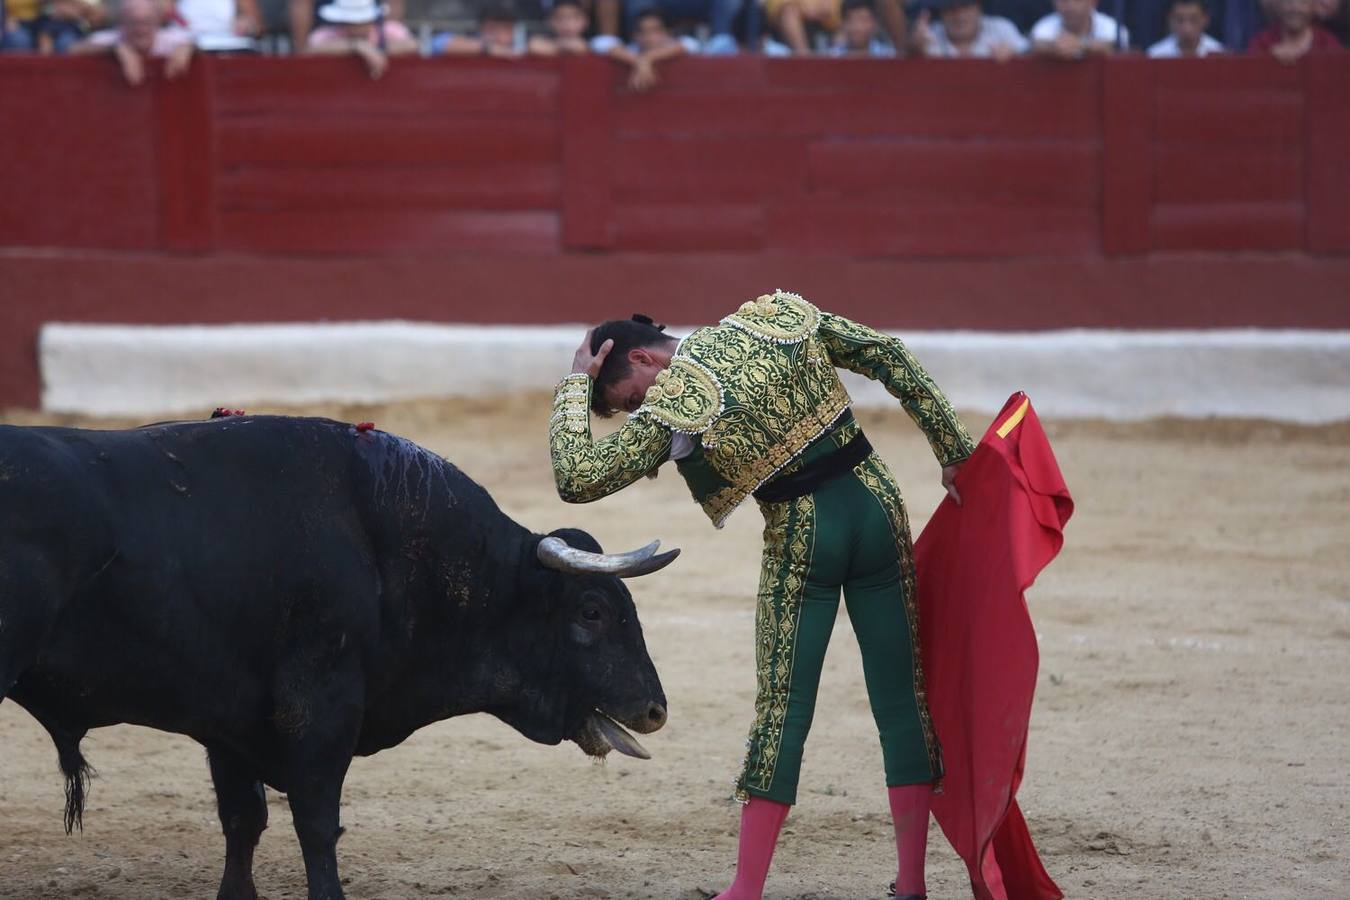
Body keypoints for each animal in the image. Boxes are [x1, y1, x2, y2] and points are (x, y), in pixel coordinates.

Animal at [0, 418, 675, 900]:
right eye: (591, 611)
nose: (655, 710)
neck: (388, 541)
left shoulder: (230, 719)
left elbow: (243, 820)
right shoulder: (320, 708)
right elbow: (316, 823)